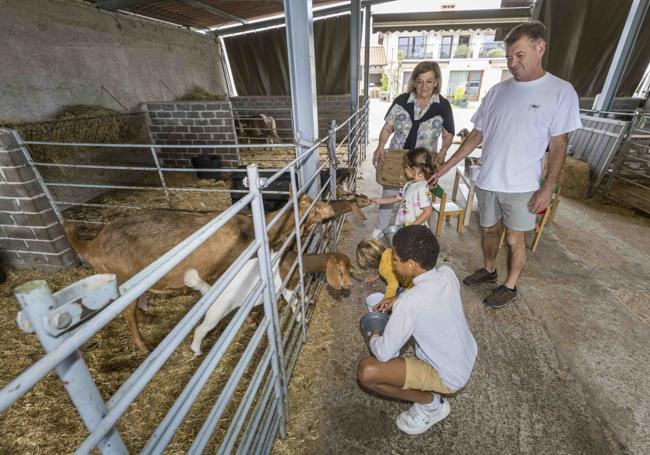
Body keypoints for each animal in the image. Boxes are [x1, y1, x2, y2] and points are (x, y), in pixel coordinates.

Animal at [64, 194, 334, 354]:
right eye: (313, 207)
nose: (331, 208)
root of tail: (92, 244)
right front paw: (250, 320)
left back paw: (150, 317)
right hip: (122, 282)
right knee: (128, 316)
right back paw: (145, 346)